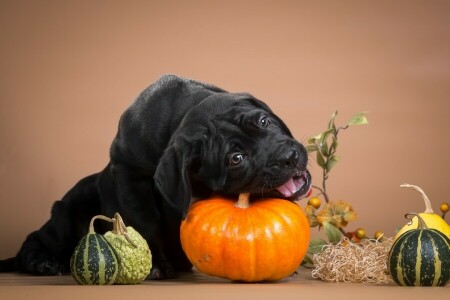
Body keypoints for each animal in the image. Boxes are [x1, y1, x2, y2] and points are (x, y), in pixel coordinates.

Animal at [0, 75, 312, 278]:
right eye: (236, 159)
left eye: (264, 121)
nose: (289, 157)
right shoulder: (130, 175)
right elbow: (145, 222)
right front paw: (156, 265)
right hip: (67, 214)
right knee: (36, 240)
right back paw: (44, 263)